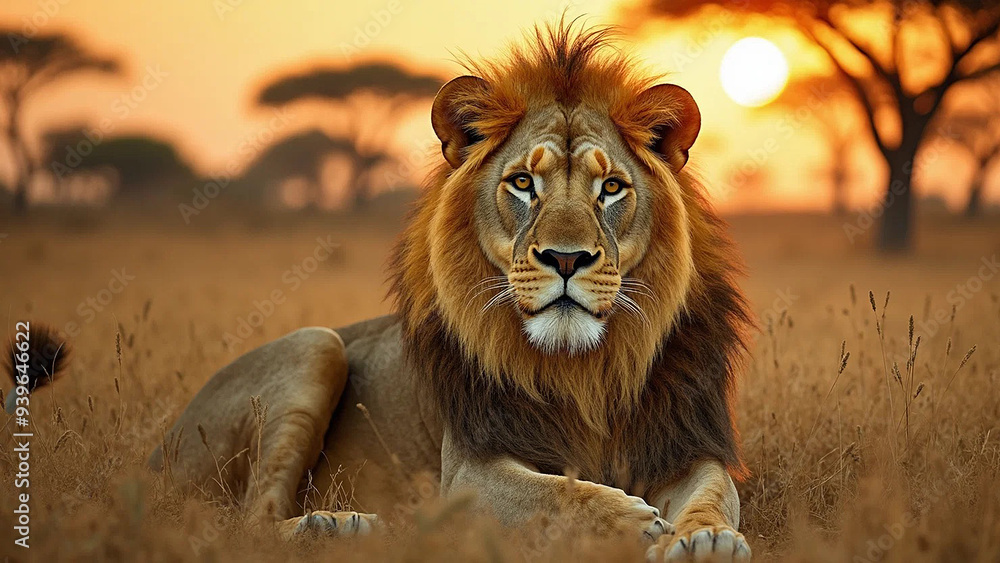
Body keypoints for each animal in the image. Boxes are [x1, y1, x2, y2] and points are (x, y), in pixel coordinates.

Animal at [146, 22, 753, 562]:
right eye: (523, 183)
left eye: (610, 188)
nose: (566, 258)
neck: (584, 370)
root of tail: (156, 453)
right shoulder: (467, 472)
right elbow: (555, 494)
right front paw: (630, 522)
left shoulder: (684, 443)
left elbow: (715, 493)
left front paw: (706, 538)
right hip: (315, 346)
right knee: (249, 523)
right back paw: (338, 527)